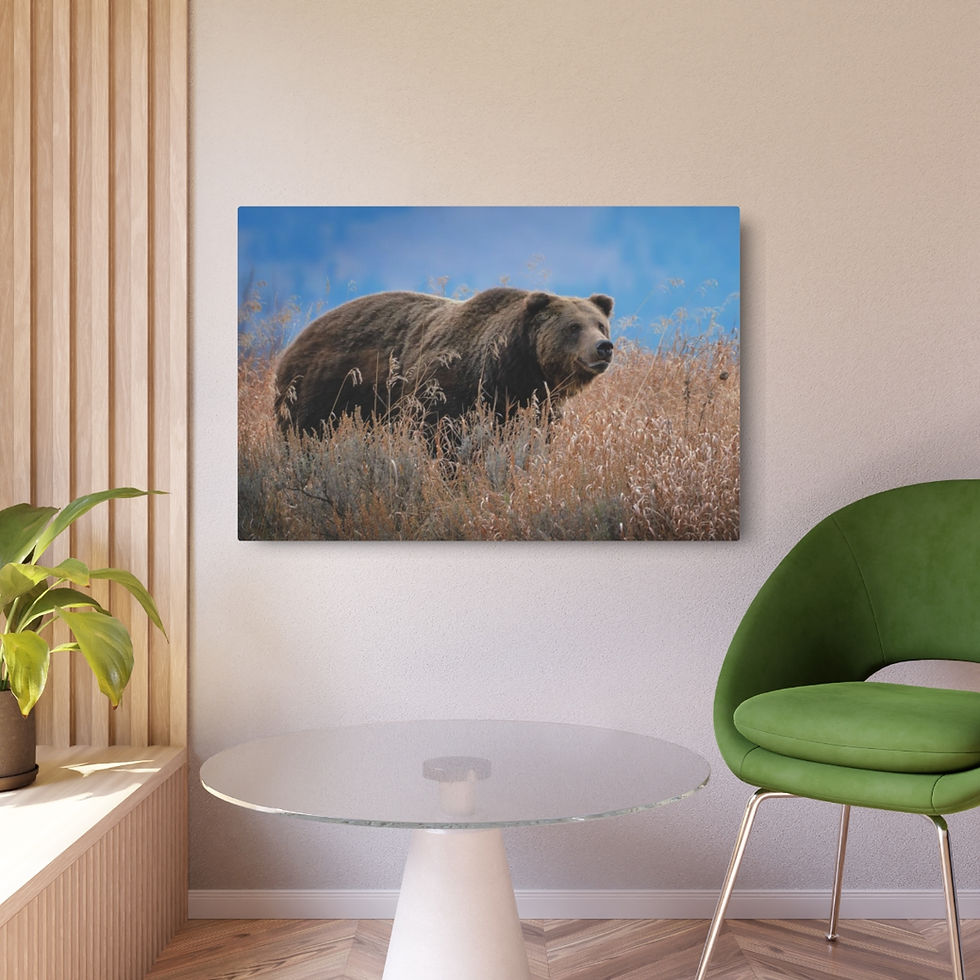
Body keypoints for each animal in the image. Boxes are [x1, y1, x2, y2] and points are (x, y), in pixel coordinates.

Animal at [274, 286, 614, 434]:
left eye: (600, 324)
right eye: (573, 327)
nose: (603, 347)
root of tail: (296, 340)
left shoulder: (536, 404)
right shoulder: (447, 389)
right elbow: (442, 440)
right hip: (321, 393)